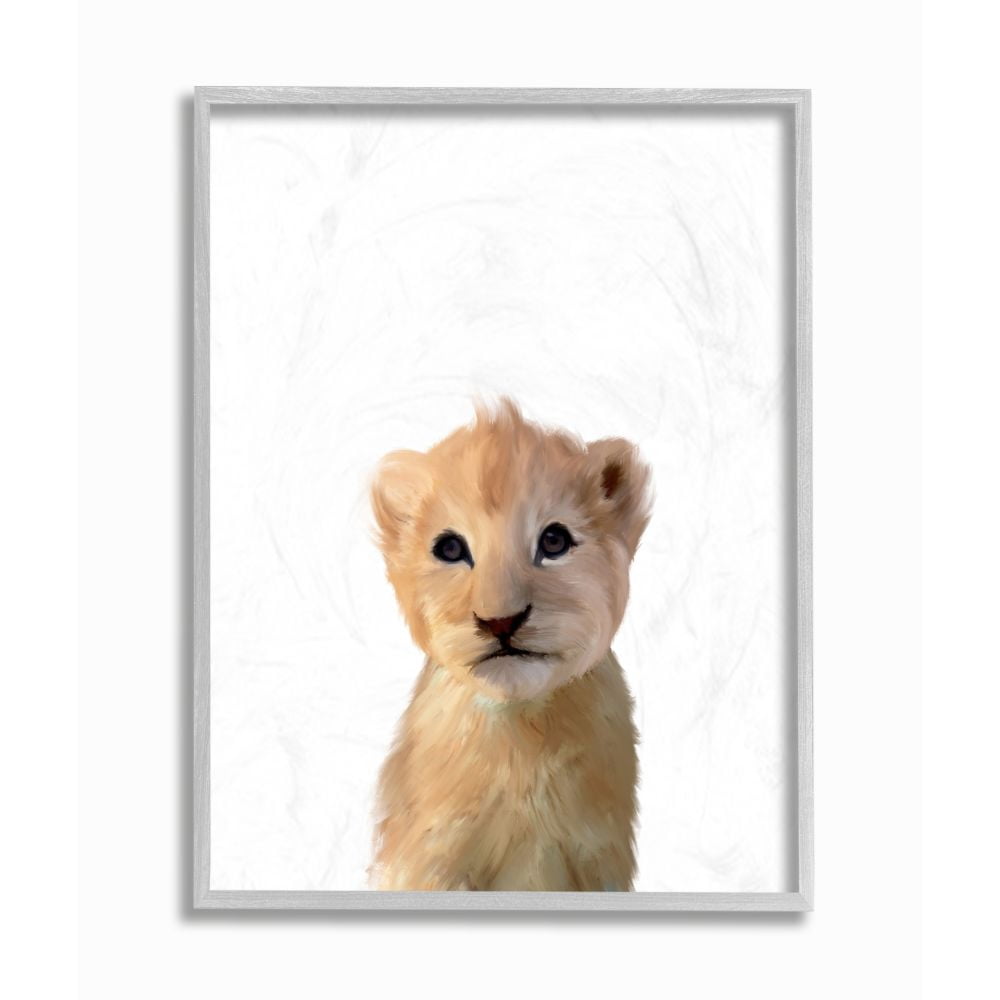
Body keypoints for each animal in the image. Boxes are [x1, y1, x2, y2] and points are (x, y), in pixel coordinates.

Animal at [369, 398, 652, 891]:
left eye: (554, 540)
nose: (500, 620)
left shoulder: (600, 857)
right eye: (449, 549)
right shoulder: (430, 858)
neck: (521, 736)